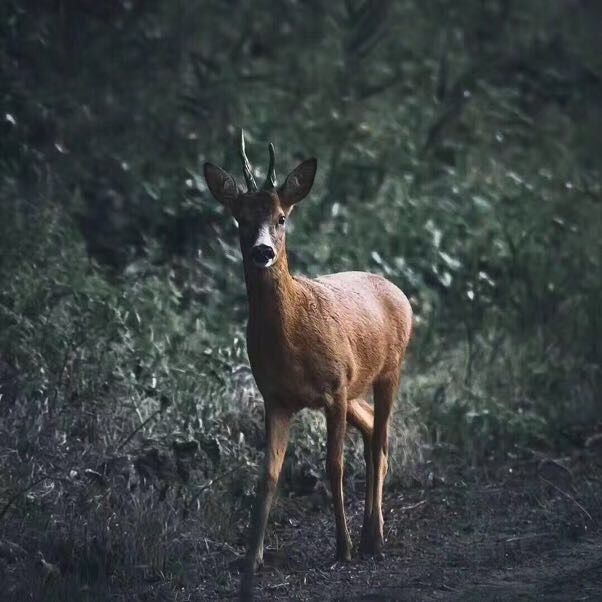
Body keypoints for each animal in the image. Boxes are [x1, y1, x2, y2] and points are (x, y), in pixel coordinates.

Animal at [203, 131, 412, 596]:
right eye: (241, 218)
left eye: (281, 217)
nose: (262, 251)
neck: (293, 336)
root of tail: (397, 291)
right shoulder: (277, 398)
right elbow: (268, 476)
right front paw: (252, 561)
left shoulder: (333, 389)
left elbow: (333, 466)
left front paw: (343, 547)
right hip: (356, 387)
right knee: (371, 430)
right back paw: (371, 531)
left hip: (389, 370)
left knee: (382, 439)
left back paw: (373, 537)